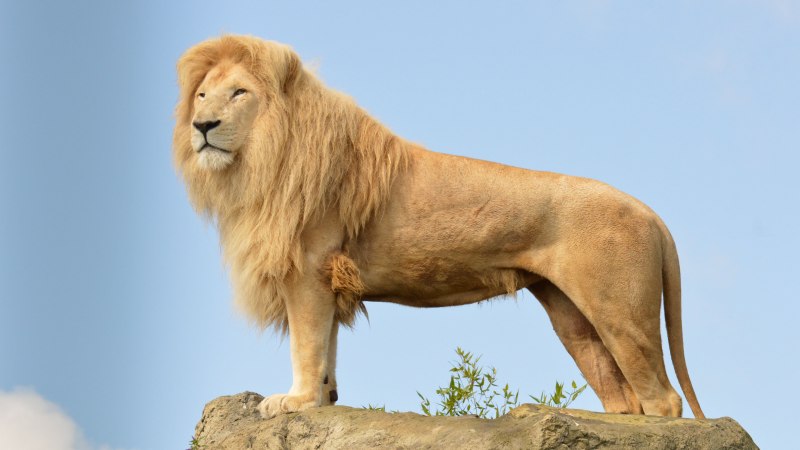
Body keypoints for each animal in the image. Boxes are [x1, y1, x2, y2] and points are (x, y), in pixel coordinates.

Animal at [173, 35, 705, 420]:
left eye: (239, 93)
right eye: (201, 95)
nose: (202, 125)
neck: (258, 162)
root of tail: (650, 212)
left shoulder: (307, 269)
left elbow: (307, 344)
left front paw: (295, 401)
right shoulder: (328, 278)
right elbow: (326, 348)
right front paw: (323, 399)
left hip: (619, 311)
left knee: (663, 399)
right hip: (572, 316)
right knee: (623, 397)